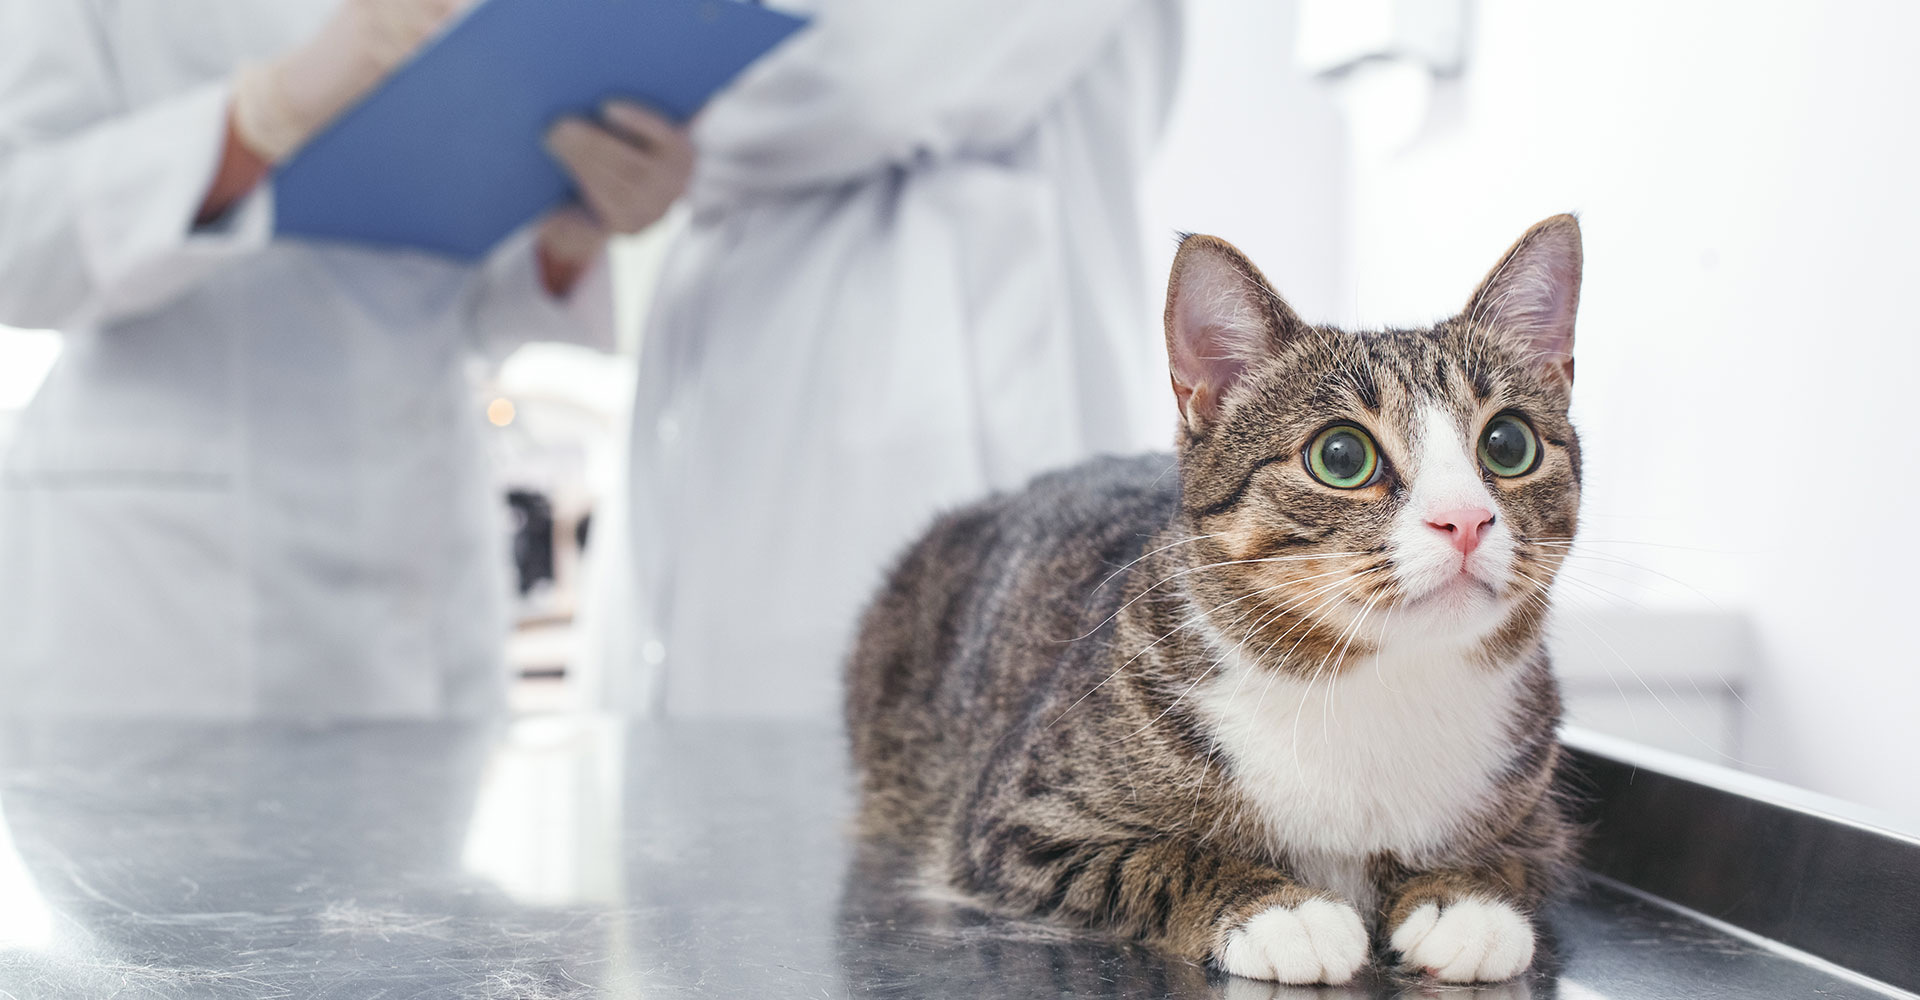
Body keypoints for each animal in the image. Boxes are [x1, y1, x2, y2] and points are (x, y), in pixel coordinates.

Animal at [848, 212, 1582, 982]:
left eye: (1508, 444)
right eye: (1342, 456)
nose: (1465, 520)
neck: (1374, 681)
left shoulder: (1542, 823)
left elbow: (1510, 860)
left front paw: (1463, 899)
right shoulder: (1021, 821)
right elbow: (1161, 857)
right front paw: (1282, 911)